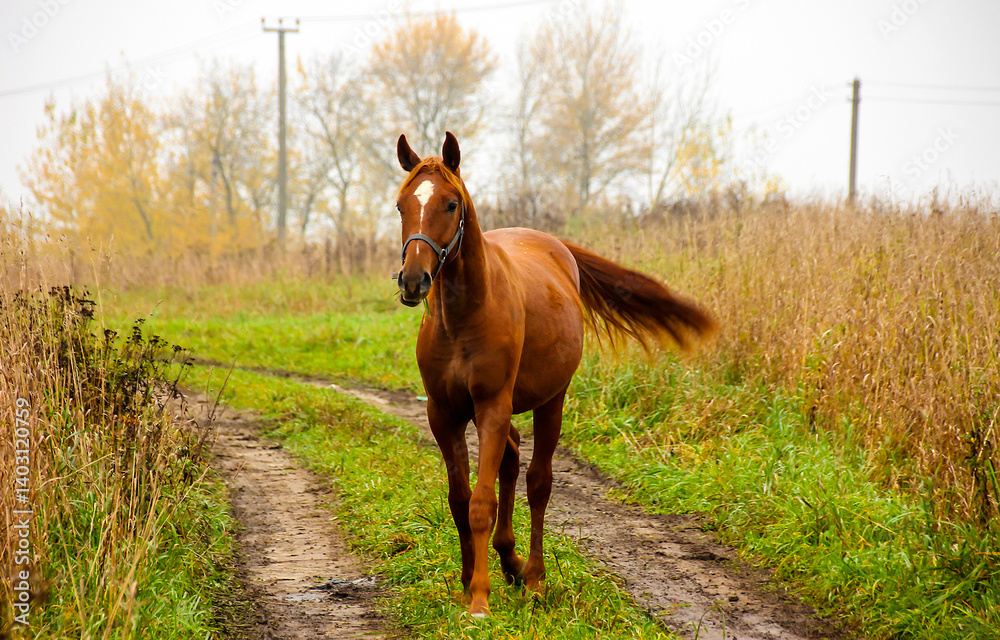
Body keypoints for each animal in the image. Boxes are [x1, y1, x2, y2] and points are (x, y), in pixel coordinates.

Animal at [394, 131, 715, 618]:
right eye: (401, 206)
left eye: (450, 204)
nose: (414, 280)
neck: (463, 318)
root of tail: (555, 247)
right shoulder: (443, 414)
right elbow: (459, 499)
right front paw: (467, 583)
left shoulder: (492, 407)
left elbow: (481, 502)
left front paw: (480, 600)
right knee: (512, 460)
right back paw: (510, 561)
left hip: (551, 401)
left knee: (537, 481)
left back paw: (534, 578)